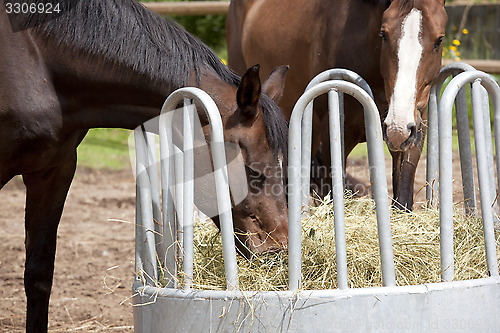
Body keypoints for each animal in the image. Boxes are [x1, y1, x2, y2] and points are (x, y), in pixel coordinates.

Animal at [229, 0, 448, 209]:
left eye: (439, 39)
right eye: (384, 34)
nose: (398, 127)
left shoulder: (414, 126)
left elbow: (402, 199)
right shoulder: (333, 132)